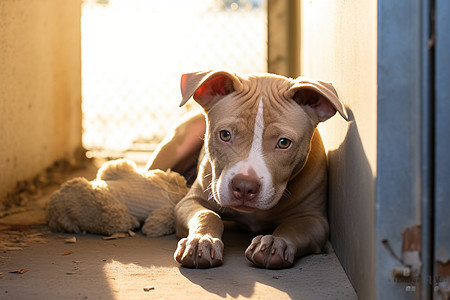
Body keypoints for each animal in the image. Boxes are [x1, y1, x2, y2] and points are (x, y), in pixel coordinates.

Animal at [145, 71, 348, 270]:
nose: (243, 186)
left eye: (284, 143)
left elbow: (294, 227)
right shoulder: (190, 201)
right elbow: (207, 215)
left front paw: (276, 242)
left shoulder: (315, 220)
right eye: (225, 135)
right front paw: (201, 241)